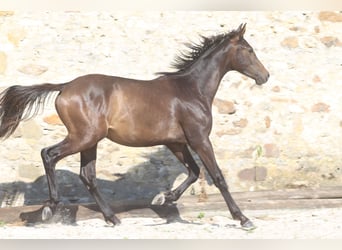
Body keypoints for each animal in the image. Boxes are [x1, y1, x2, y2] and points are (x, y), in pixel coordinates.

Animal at [0, 23, 268, 229]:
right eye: (249, 50)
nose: (265, 76)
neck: (191, 90)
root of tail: (65, 87)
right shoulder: (199, 139)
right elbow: (217, 175)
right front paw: (243, 219)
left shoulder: (176, 142)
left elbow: (193, 172)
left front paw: (163, 198)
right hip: (83, 137)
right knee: (49, 154)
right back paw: (50, 207)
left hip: (90, 141)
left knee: (88, 176)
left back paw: (112, 218)